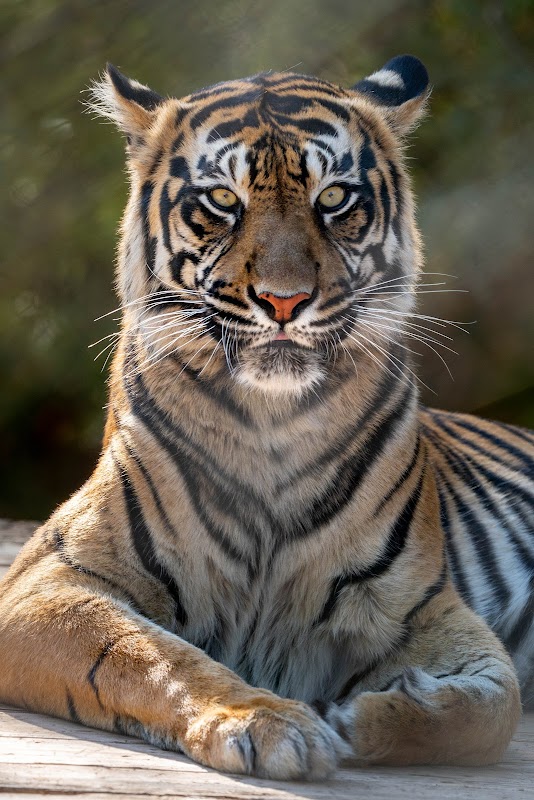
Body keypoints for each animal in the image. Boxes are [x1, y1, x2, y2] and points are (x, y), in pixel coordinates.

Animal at [1, 54, 532, 781]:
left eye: (333, 199)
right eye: (224, 202)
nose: (284, 301)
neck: (272, 423)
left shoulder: (422, 604)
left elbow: (492, 710)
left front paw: (357, 717)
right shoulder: (47, 581)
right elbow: (156, 657)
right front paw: (268, 721)